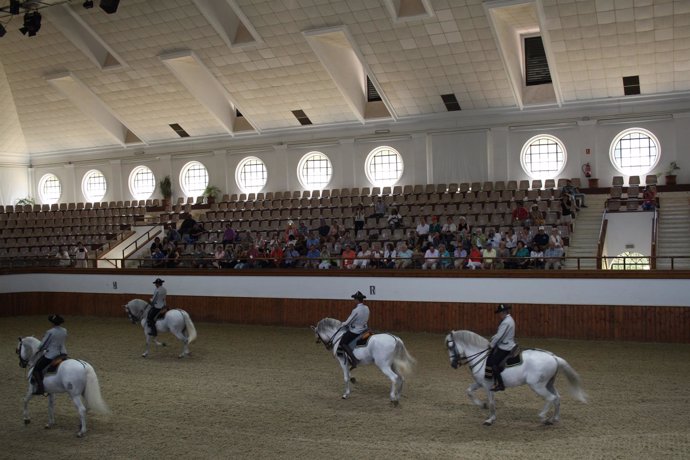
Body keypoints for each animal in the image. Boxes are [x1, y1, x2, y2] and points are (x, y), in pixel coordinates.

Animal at [444, 330, 584, 424]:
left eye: (451, 346)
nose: (453, 364)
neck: (482, 358)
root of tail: (553, 357)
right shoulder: (480, 383)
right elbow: (469, 391)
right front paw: (482, 405)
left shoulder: (488, 386)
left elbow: (492, 402)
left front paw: (490, 419)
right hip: (549, 384)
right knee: (557, 398)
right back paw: (555, 418)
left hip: (537, 386)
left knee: (551, 398)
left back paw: (543, 417)